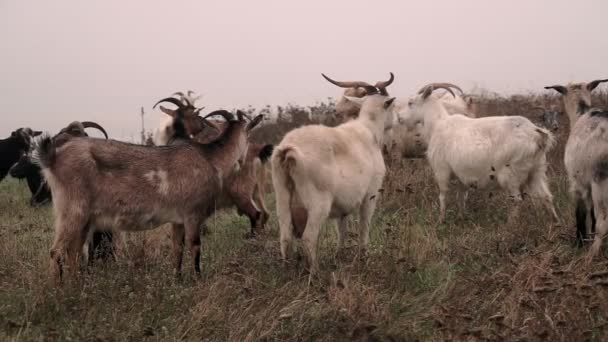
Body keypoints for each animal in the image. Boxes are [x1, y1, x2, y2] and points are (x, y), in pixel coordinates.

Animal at [35, 100, 258, 282]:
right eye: (249, 135)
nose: (245, 158)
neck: (210, 158)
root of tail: (53, 157)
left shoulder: (178, 219)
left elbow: (177, 247)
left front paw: (177, 279)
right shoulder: (193, 213)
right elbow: (195, 246)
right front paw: (197, 279)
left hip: (85, 219)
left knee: (73, 251)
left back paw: (78, 285)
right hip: (72, 210)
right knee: (56, 251)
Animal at [154, 91, 274, 235]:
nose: (202, 125)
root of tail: (257, 153)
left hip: (241, 193)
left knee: (256, 214)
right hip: (258, 190)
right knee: (265, 213)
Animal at [272, 73, 396, 272]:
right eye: (390, 105)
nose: (397, 119)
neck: (368, 130)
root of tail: (288, 149)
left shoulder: (343, 206)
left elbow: (342, 230)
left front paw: (339, 256)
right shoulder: (370, 195)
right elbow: (364, 227)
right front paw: (363, 257)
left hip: (282, 199)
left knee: (285, 237)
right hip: (318, 204)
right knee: (308, 238)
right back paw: (315, 273)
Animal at [402, 84, 560, 224]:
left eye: (410, 102)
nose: (400, 117)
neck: (438, 123)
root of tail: (538, 135)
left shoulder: (442, 171)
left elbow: (443, 196)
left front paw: (441, 220)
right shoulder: (462, 176)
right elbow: (461, 197)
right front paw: (461, 218)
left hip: (511, 175)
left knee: (516, 201)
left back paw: (511, 226)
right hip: (536, 171)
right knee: (546, 196)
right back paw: (555, 223)